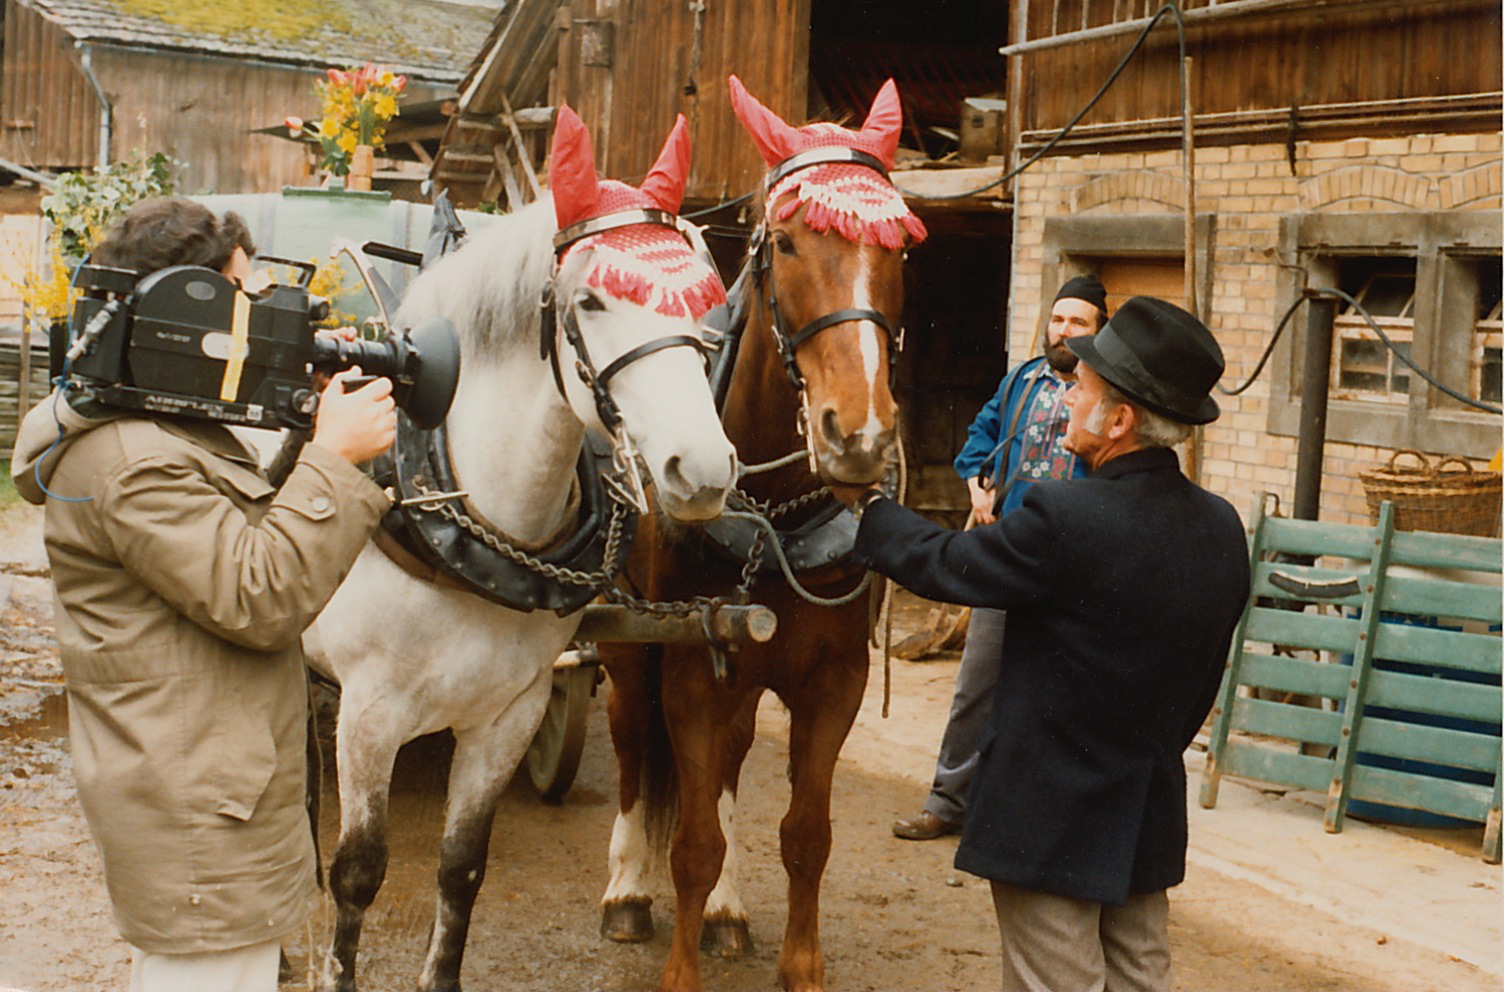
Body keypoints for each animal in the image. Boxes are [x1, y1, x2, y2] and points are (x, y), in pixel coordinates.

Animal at [303, 108, 733, 992]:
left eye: (708, 300)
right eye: (591, 300)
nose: (702, 469)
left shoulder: (510, 713)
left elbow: (462, 868)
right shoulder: (368, 714)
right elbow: (358, 872)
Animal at [598, 77, 926, 992]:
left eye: (902, 250)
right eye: (784, 242)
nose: (858, 435)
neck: (775, 516)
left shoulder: (835, 680)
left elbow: (805, 835)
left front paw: (798, 964)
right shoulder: (690, 673)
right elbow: (692, 842)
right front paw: (677, 965)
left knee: (733, 764)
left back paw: (726, 913)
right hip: (627, 645)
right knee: (632, 748)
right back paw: (626, 892)